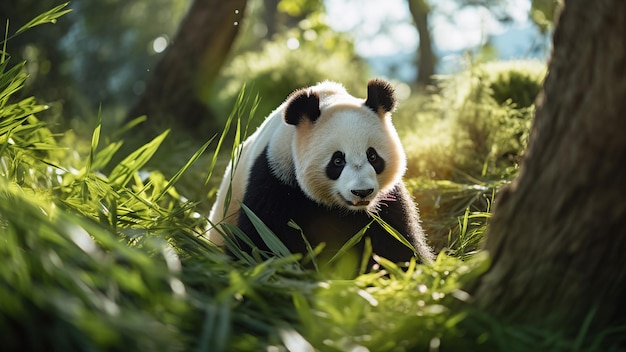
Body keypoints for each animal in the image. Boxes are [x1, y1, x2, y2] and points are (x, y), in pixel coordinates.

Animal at [207, 77, 432, 264]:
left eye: (373, 156)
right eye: (337, 160)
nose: (362, 192)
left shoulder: (386, 200)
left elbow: (396, 239)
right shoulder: (275, 177)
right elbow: (263, 239)